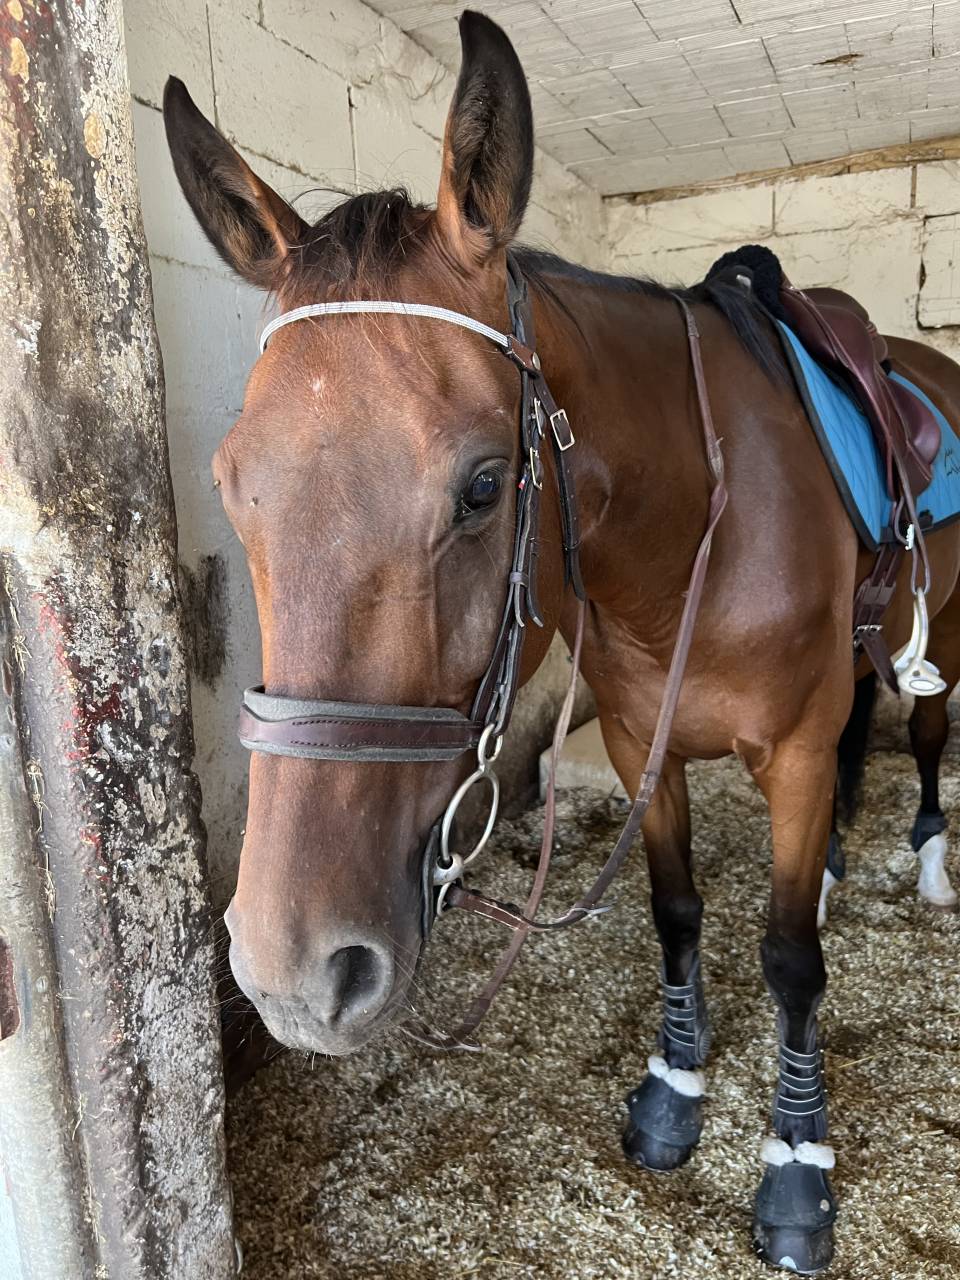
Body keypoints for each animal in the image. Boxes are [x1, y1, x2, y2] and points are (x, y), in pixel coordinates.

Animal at [163, 11, 960, 1272]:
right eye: (231, 485)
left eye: (485, 485)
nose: (292, 971)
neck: (699, 527)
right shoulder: (643, 741)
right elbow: (677, 913)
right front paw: (674, 1090)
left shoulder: (783, 750)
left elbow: (788, 954)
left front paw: (796, 1161)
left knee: (922, 736)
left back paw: (926, 865)